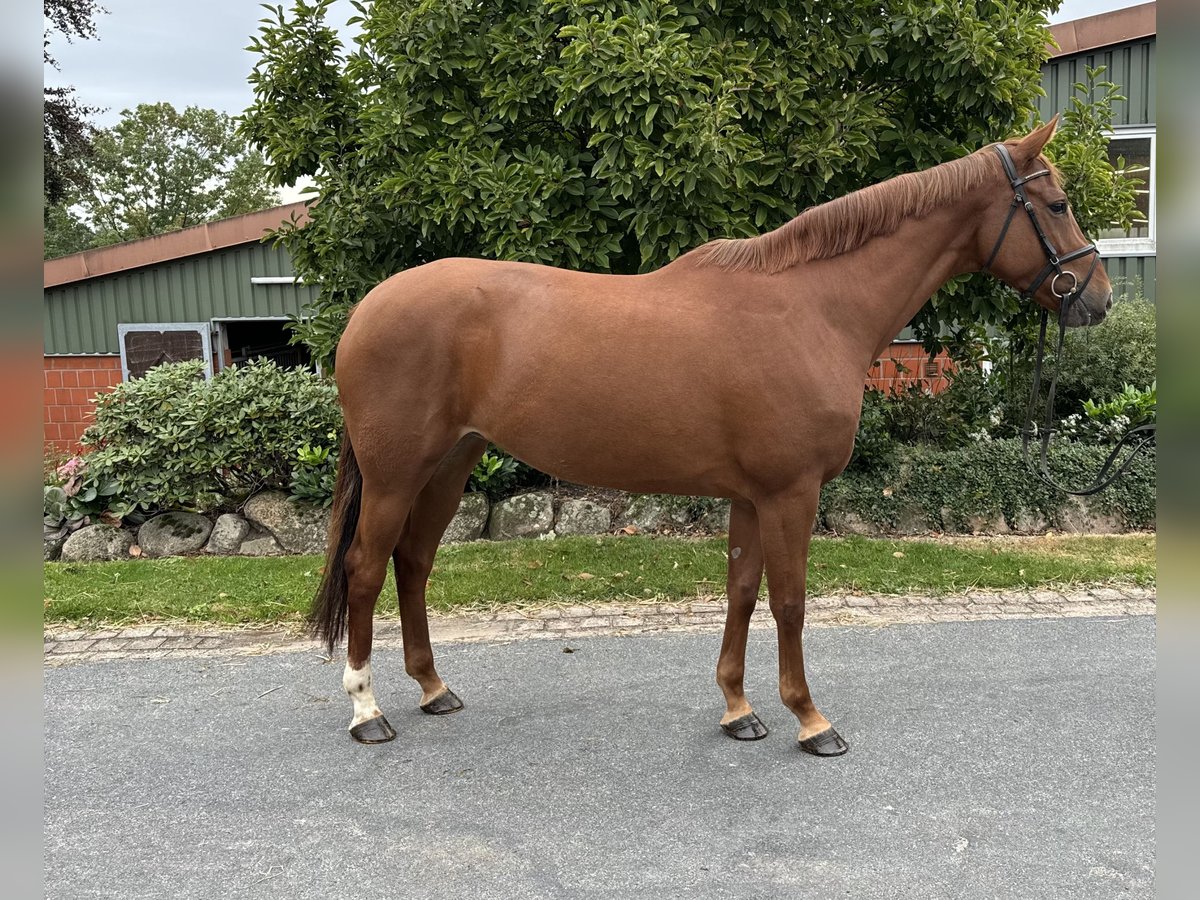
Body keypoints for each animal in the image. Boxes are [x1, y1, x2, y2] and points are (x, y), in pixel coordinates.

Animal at [312, 118, 1113, 753]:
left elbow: (742, 591)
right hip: (396, 473)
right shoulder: (790, 492)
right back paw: (367, 711)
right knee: (366, 566)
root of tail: (366, 310)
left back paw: (433, 688)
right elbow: (789, 601)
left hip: (451, 463)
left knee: (413, 563)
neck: (813, 308)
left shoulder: (752, 495)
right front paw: (811, 720)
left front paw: (739, 709)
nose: (1098, 299)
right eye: (1057, 204)